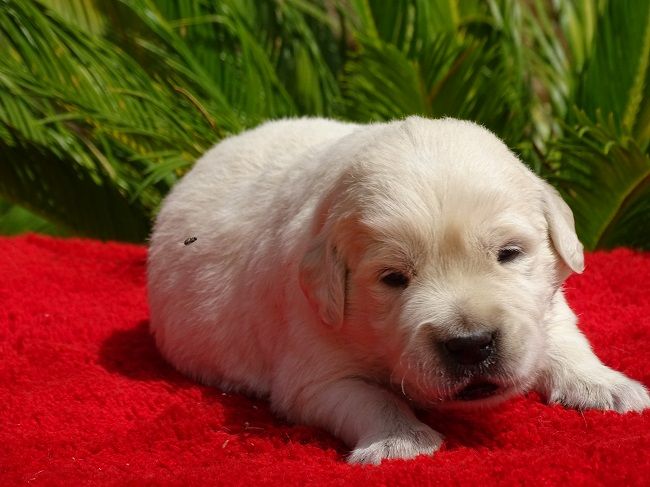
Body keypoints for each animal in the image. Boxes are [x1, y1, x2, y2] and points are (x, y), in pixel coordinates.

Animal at [147, 117, 650, 464]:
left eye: (508, 253)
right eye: (393, 278)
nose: (471, 345)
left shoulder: (544, 305)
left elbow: (564, 339)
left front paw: (606, 386)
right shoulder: (313, 365)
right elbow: (371, 397)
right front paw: (400, 441)